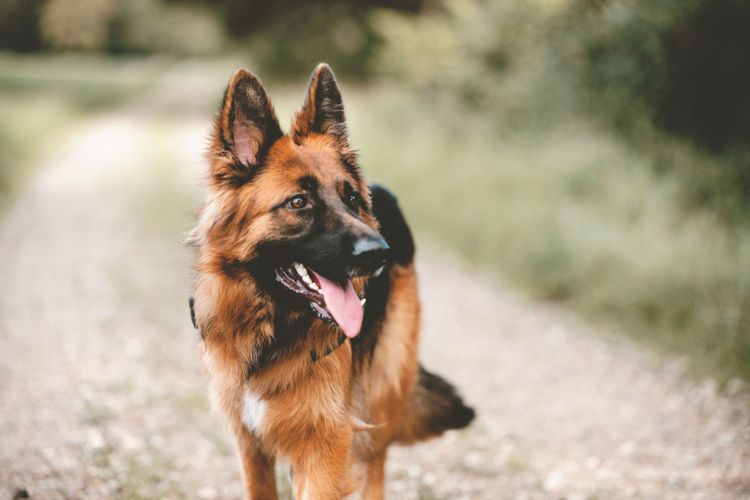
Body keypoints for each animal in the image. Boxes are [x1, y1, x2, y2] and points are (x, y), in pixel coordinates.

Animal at [194, 64, 476, 498]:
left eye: (351, 200)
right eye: (299, 202)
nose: (380, 253)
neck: (274, 334)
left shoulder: (327, 445)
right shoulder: (251, 443)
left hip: (381, 389)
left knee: (376, 464)